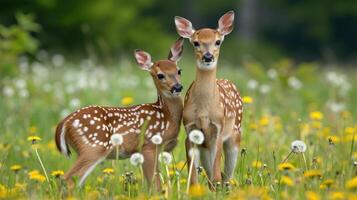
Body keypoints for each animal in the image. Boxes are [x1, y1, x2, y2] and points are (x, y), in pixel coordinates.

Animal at [55, 37, 186, 189]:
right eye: (160, 75)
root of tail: (66, 121)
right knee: (69, 178)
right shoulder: (148, 147)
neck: (167, 116)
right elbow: (155, 185)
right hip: (93, 147)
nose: (177, 87)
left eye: (179, 71)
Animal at [174, 10, 243, 189]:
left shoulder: (218, 130)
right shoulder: (190, 130)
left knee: (226, 176)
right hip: (205, 146)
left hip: (235, 136)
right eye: (196, 43)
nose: (207, 56)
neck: (204, 110)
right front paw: (193, 190)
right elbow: (193, 175)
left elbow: (217, 173)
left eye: (217, 41)